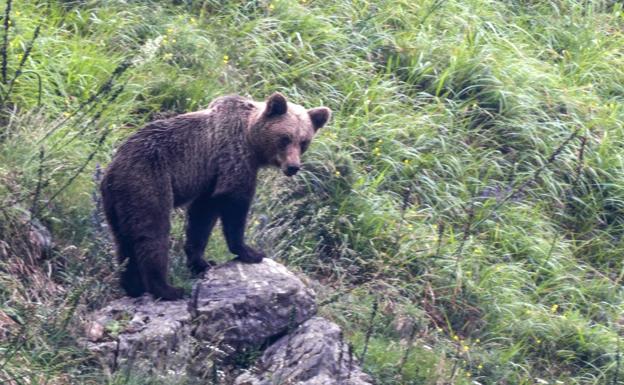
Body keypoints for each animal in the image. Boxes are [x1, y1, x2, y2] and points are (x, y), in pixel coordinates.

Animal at [100, 93, 332, 300]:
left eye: (304, 141)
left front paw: (202, 262)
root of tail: (111, 170)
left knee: (124, 239)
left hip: (118, 203)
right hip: (148, 182)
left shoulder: (211, 179)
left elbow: (202, 216)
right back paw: (167, 289)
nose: (293, 167)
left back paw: (133, 286)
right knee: (152, 233)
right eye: (285, 138)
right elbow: (234, 204)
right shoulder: (233, 158)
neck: (251, 140)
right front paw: (250, 252)